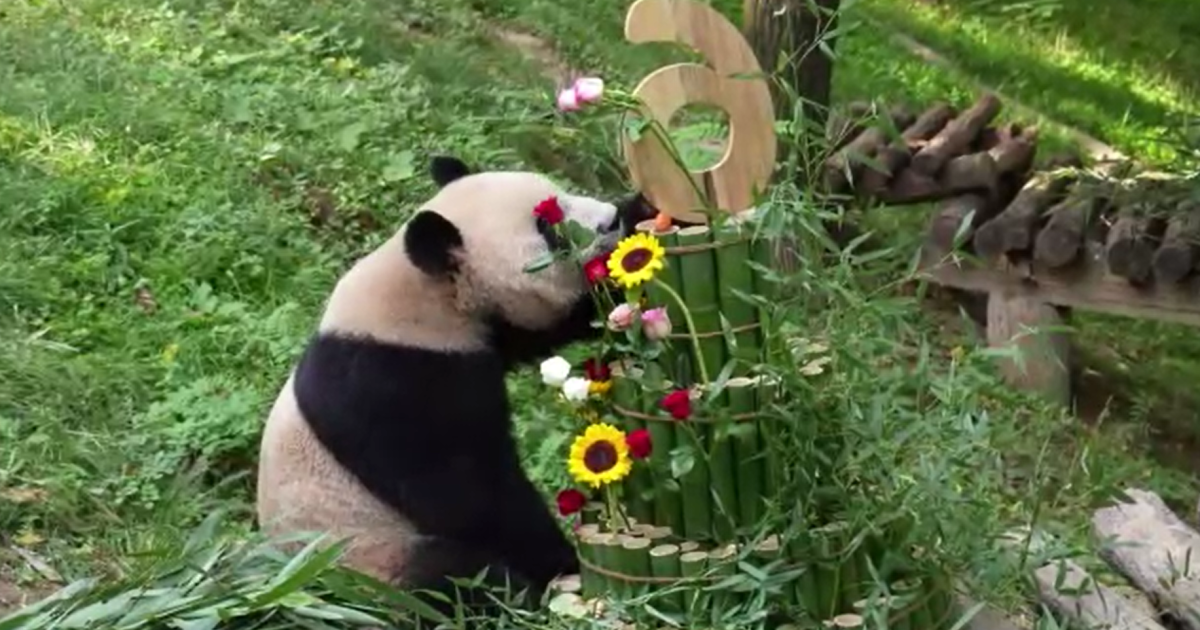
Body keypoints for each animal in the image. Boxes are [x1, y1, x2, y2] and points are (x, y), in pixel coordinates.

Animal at [254, 155, 655, 620]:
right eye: (546, 226)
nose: (608, 220)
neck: (424, 296)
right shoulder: (396, 384)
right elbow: (468, 496)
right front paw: (560, 562)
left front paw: (642, 214)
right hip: (366, 558)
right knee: (448, 577)